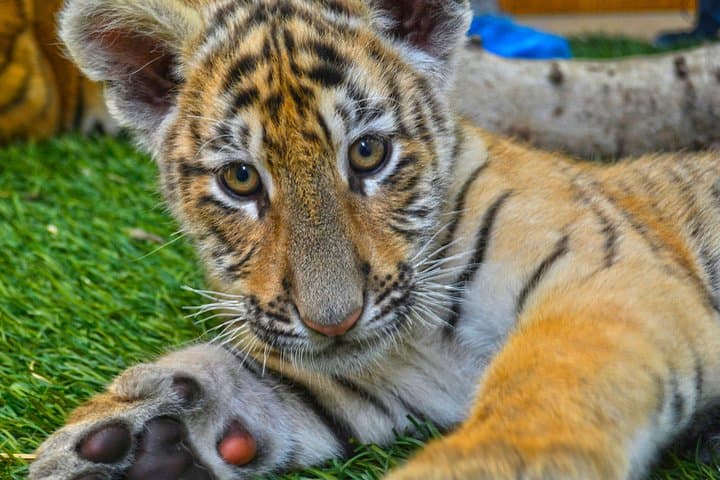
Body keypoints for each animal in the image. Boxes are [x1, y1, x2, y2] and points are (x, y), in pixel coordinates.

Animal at [28, 0, 720, 479]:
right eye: (240, 178)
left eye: (368, 153)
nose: (334, 321)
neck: (422, 341)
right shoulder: (375, 378)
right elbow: (268, 379)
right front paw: (130, 440)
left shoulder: (606, 278)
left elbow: (544, 386)